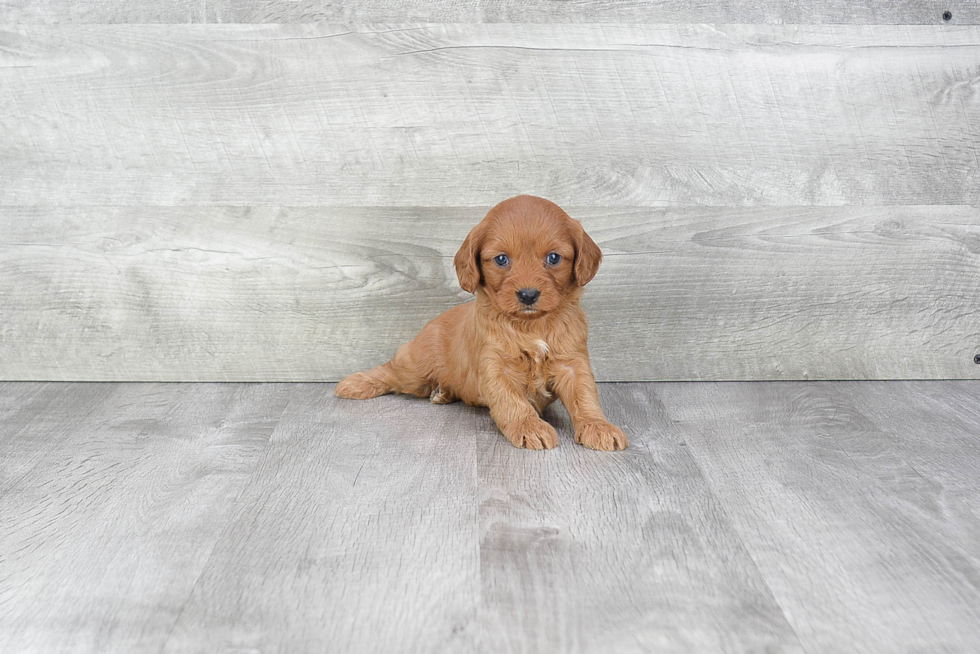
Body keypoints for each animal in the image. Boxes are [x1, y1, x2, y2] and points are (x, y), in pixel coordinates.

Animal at [336, 192, 628, 454]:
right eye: (501, 259)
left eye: (554, 258)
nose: (528, 295)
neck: (530, 326)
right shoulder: (496, 366)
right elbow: (512, 402)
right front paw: (529, 426)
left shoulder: (572, 363)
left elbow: (585, 396)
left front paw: (598, 426)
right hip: (415, 369)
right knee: (392, 370)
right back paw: (355, 383)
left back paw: (443, 392)